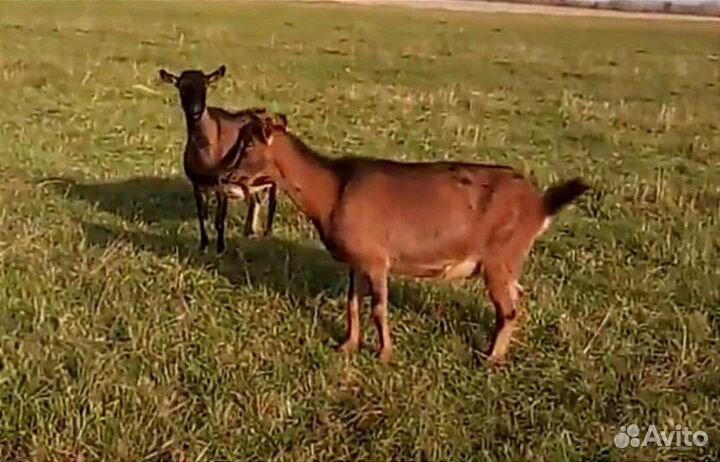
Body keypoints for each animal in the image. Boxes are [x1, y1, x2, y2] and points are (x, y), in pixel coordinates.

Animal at [159, 65, 283, 253]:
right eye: (181, 87)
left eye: (205, 86)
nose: (195, 111)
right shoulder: (197, 184)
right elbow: (202, 216)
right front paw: (203, 245)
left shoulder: (221, 184)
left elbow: (219, 219)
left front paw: (220, 248)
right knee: (255, 199)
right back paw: (249, 231)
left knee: (272, 200)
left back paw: (267, 233)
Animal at [225, 117, 589, 364]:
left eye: (248, 146)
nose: (226, 177)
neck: (332, 191)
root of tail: (540, 205)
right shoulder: (357, 261)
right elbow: (352, 304)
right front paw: (347, 346)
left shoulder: (377, 258)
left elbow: (378, 308)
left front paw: (384, 353)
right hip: (509, 262)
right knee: (519, 298)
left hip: (499, 258)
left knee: (508, 309)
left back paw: (490, 358)